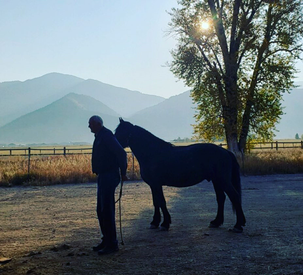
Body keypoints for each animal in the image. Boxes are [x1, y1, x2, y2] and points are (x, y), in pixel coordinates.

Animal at [115, 118, 246, 233]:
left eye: (119, 132)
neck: (152, 153)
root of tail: (226, 152)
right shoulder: (153, 185)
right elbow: (156, 202)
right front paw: (155, 222)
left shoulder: (156, 184)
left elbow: (162, 202)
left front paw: (165, 224)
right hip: (216, 181)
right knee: (221, 198)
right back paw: (216, 222)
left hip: (222, 180)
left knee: (234, 196)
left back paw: (238, 226)